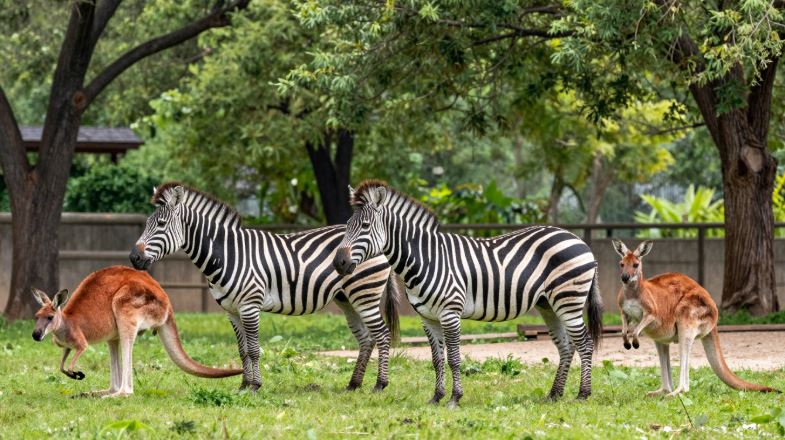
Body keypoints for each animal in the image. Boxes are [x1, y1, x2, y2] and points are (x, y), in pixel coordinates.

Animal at [129, 183, 400, 392]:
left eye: (161, 224)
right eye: (148, 223)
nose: (134, 257)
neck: (228, 254)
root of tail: (382, 242)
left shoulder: (250, 306)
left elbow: (254, 349)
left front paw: (255, 386)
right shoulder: (231, 311)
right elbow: (242, 350)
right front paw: (243, 385)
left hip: (365, 293)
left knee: (382, 335)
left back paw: (380, 384)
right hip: (347, 299)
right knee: (366, 339)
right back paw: (354, 384)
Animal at [332, 180, 603, 406]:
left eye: (365, 226)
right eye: (346, 227)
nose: (339, 263)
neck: (427, 258)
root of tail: (578, 240)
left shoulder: (450, 313)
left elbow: (453, 358)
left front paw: (454, 398)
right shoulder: (427, 318)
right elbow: (437, 359)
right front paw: (436, 397)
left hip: (568, 300)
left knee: (585, 343)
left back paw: (583, 394)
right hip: (548, 305)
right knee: (566, 346)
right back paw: (554, 394)